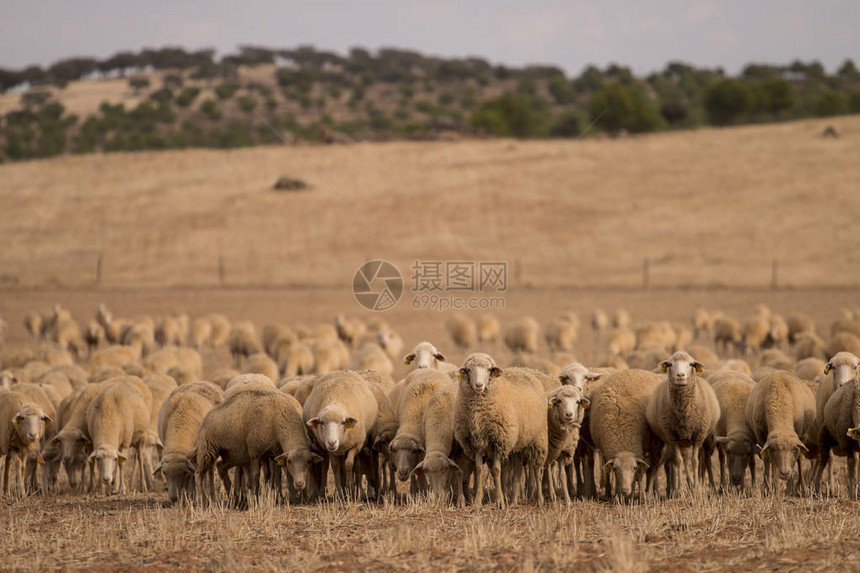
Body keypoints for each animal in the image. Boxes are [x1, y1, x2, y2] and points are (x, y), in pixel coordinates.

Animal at [454, 354, 548, 504]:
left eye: (488, 370)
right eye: (468, 370)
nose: (479, 385)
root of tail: (526, 370)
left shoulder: (499, 441)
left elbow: (497, 470)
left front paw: (499, 501)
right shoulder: (477, 442)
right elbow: (479, 470)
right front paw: (477, 502)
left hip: (539, 438)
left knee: (537, 468)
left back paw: (539, 499)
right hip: (518, 443)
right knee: (517, 471)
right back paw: (514, 500)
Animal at [588, 368, 660, 498]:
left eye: (634, 468)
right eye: (616, 469)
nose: (625, 490)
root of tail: (636, 369)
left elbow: (640, 474)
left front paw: (640, 496)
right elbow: (612, 475)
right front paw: (617, 496)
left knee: (653, 469)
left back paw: (651, 492)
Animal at [648, 350, 724, 494]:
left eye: (691, 364)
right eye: (670, 364)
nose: (681, 375)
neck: (683, 412)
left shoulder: (698, 436)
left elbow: (695, 461)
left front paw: (697, 489)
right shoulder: (673, 437)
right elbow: (678, 461)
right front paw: (678, 490)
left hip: (708, 437)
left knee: (705, 459)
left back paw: (709, 485)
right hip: (681, 440)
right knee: (683, 460)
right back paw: (687, 484)